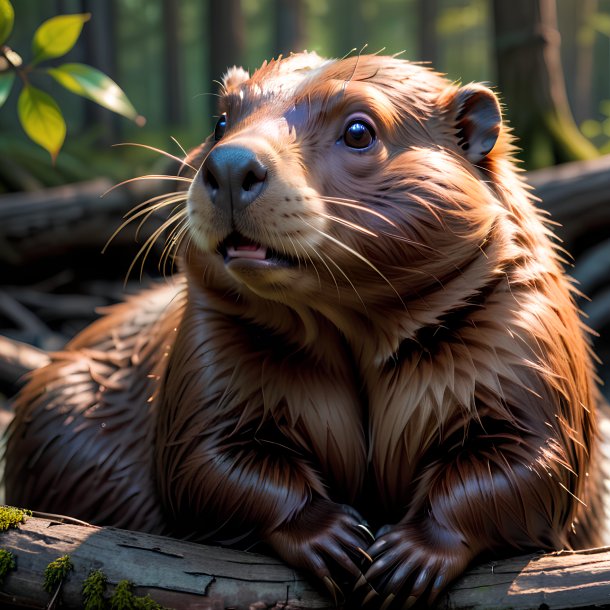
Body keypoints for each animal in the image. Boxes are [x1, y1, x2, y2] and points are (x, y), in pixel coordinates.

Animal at [4, 52, 604, 604]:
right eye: (220, 120)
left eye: (359, 130)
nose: (230, 166)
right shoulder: (207, 351)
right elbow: (202, 461)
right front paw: (337, 539)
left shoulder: (525, 338)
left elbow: (534, 461)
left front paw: (404, 559)